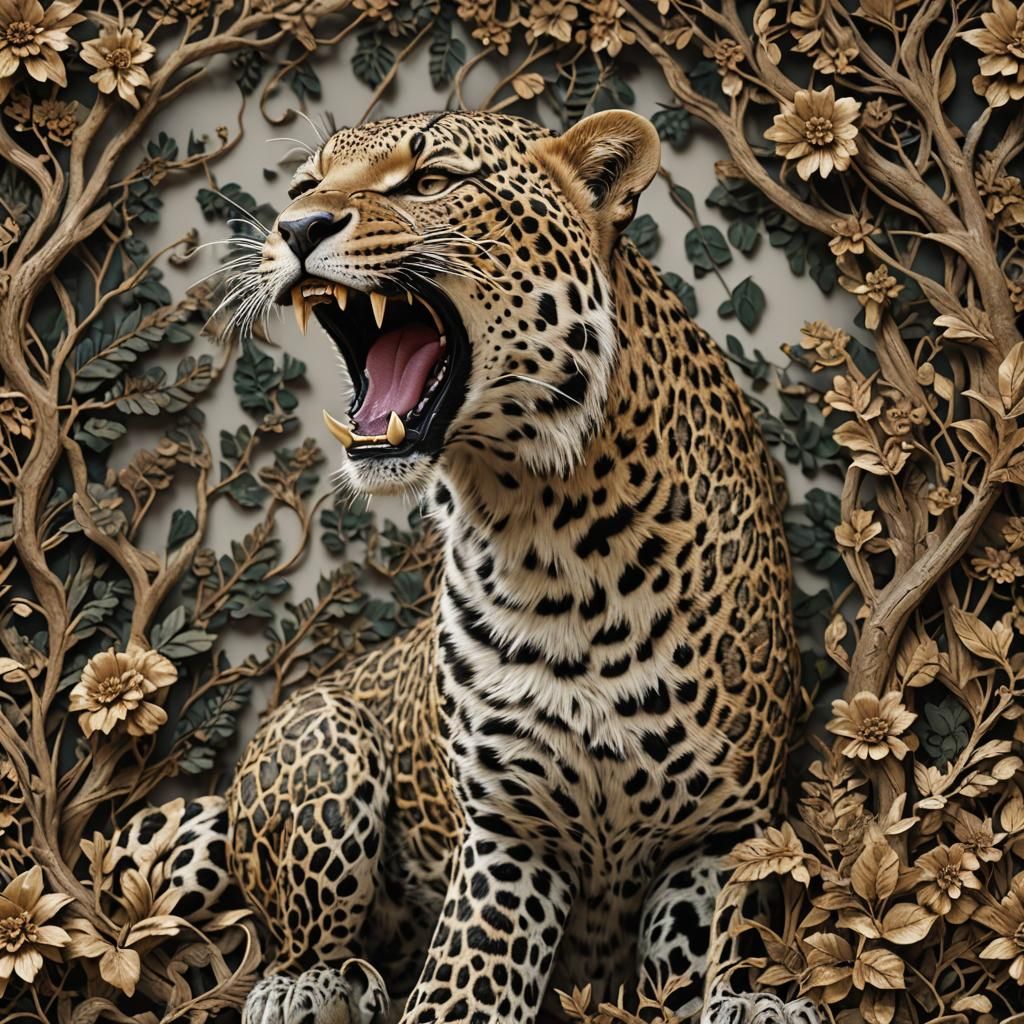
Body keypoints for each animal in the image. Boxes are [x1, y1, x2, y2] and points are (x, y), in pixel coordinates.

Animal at [165, 109, 821, 1024]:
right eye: (305, 185)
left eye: (432, 181)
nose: (295, 228)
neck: (554, 532)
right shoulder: (509, 835)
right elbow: (461, 991)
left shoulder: (725, 833)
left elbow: (720, 943)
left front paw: (753, 999)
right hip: (324, 733)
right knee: (302, 934)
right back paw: (315, 985)